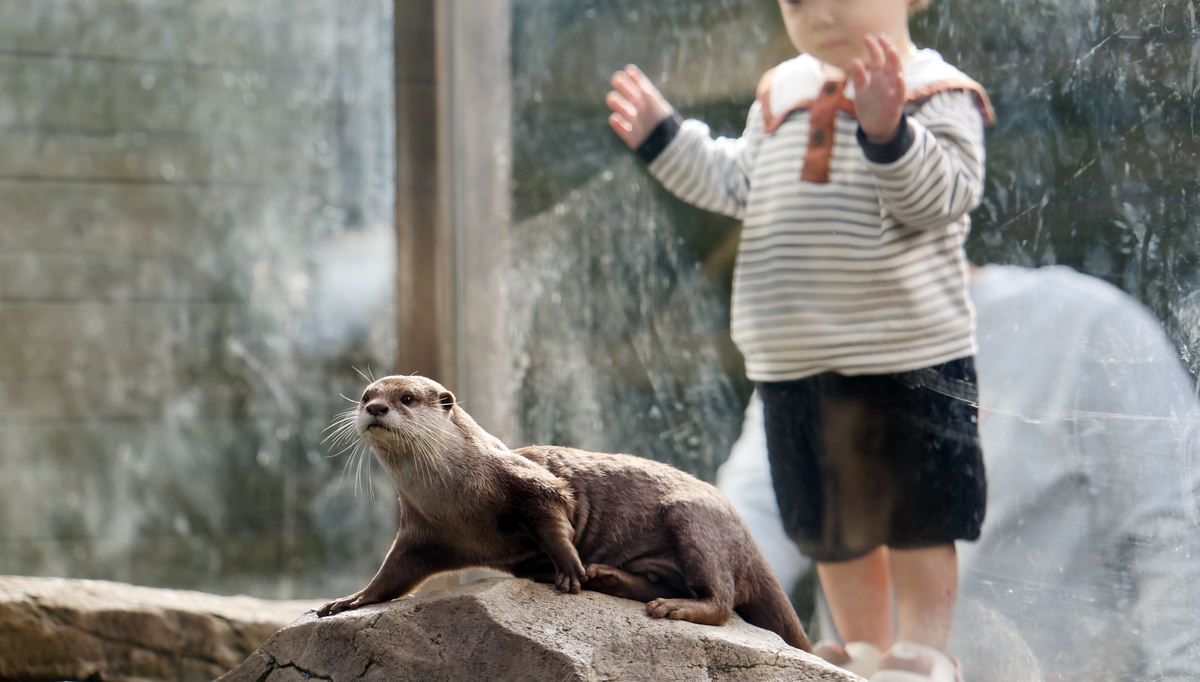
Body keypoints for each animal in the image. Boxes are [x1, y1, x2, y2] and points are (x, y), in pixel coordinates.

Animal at [314, 374, 811, 653]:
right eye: (365, 394)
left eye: (408, 398)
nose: (375, 407)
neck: (453, 495)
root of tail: (746, 535)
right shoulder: (422, 533)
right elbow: (393, 575)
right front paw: (350, 600)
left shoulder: (522, 479)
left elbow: (555, 507)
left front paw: (569, 569)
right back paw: (612, 580)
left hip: (694, 518)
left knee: (723, 602)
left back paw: (671, 606)